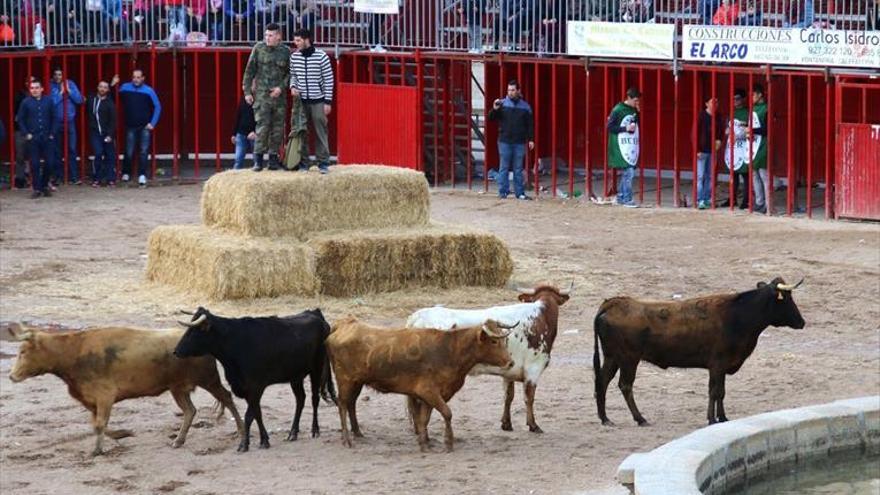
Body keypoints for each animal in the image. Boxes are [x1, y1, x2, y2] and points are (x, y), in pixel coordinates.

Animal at [8, 326, 246, 458]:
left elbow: (99, 424)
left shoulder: (104, 396)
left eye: (23, 351)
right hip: (177, 388)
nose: (11, 376)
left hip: (208, 380)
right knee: (190, 410)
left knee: (226, 398)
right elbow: (98, 424)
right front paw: (123, 434)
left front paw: (97, 451)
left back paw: (241, 432)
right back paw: (178, 440)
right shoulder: (92, 399)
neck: (73, 353)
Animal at [174, 308, 336, 452]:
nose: (176, 351)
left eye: (194, 331)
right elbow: (257, 413)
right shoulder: (246, 388)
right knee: (300, 399)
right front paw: (264, 440)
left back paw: (315, 430)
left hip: (317, 369)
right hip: (295, 376)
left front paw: (244, 444)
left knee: (314, 399)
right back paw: (293, 433)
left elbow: (249, 415)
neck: (235, 343)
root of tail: (316, 314)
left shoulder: (256, 387)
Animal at [326, 318, 512, 454]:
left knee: (351, 404)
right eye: (494, 341)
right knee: (342, 405)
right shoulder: (429, 392)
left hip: (356, 382)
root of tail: (345, 324)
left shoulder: (430, 396)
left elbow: (424, 419)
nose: (510, 362)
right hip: (346, 381)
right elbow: (446, 413)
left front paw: (424, 443)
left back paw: (358, 433)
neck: (449, 350)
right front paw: (448, 442)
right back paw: (347, 439)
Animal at [406, 282, 572, 434]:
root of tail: (416, 317)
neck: (540, 318)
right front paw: (533, 425)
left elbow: (508, 396)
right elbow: (529, 398)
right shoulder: (533, 369)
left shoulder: (510, 371)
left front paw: (506, 424)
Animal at [592, 280, 804, 426]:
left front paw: (723, 417)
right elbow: (714, 391)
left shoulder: (722, 365)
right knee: (625, 385)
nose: (802, 322)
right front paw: (711, 419)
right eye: (788, 299)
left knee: (602, 381)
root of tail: (612, 303)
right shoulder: (717, 363)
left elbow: (721, 392)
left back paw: (605, 418)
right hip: (629, 359)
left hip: (612, 357)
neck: (738, 315)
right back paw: (640, 418)